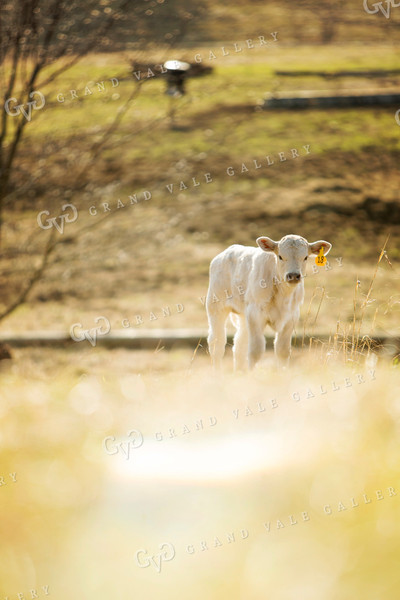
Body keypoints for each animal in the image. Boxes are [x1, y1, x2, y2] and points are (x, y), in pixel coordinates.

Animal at [206, 236, 332, 370]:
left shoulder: (291, 316)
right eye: (280, 256)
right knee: (217, 344)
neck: (283, 295)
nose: (293, 275)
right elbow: (255, 351)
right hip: (216, 307)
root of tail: (227, 251)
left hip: (244, 315)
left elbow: (283, 351)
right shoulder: (255, 314)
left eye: (305, 257)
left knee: (239, 345)